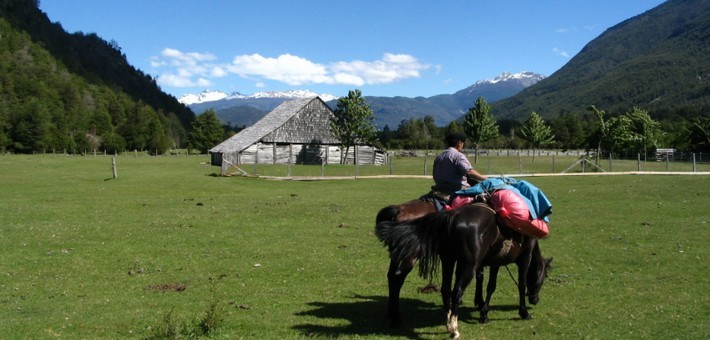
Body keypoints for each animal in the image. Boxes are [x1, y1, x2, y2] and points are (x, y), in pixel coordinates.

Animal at [376, 203, 552, 338]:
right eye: (544, 277)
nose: (535, 300)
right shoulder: (525, 257)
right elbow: (520, 284)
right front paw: (523, 312)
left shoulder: (493, 261)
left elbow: (488, 283)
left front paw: (482, 309)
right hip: (449, 262)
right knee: (454, 290)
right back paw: (452, 329)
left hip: (445, 259)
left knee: (443, 289)